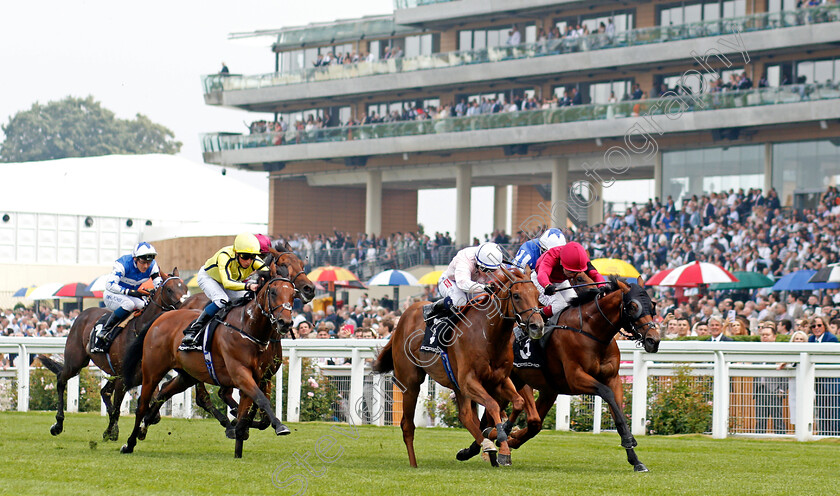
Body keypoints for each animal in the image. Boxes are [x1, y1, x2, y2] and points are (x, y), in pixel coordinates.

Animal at [37, 272, 187, 442]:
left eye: (185, 287)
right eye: (169, 289)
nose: (184, 306)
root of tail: (83, 314)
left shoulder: (145, 375)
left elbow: (151, 412)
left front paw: (114, 430)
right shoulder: (123, 377)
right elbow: (117, 409)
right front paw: (112, 432)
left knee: (104, 392)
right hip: (75, 362)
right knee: (61, 380)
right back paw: (58, 424)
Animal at [121, 262, 296, 460]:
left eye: (293, 293)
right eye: (273, 292)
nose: (285, 323)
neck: (249, 328)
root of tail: (161, 317)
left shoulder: (264, 377)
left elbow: (257, 411)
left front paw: (240, 432)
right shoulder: (240, 374)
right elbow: (261, 401)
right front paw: (279, 426)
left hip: (187, 375)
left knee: (165, 391)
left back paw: (145, 425)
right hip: (152, 371)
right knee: (142, 405)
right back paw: (129, 443)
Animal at [374, 266, 544, 466]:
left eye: (536, 294)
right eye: (516, 295)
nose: (537, 326)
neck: (488, 336)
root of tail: (403, 318)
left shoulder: (499, 380)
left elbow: (517, 403)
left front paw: (503, 433)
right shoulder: (469, 381)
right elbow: (493, 405)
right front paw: (502, 446)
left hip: (455, 384)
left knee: (465, 415)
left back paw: (485, 445)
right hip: (410, 383)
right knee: (407, 425)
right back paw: (414, 464)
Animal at [462, 280, 660, 472]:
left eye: (652, 305)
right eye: (633, 306)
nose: (654, 340)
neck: (591, 331)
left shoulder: (613, 379)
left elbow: (618, 411)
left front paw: (635, 459)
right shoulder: (576, 379)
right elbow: (606, 393)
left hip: (528, 388)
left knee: (515, 420)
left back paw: (482, 446)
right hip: (512, 382)